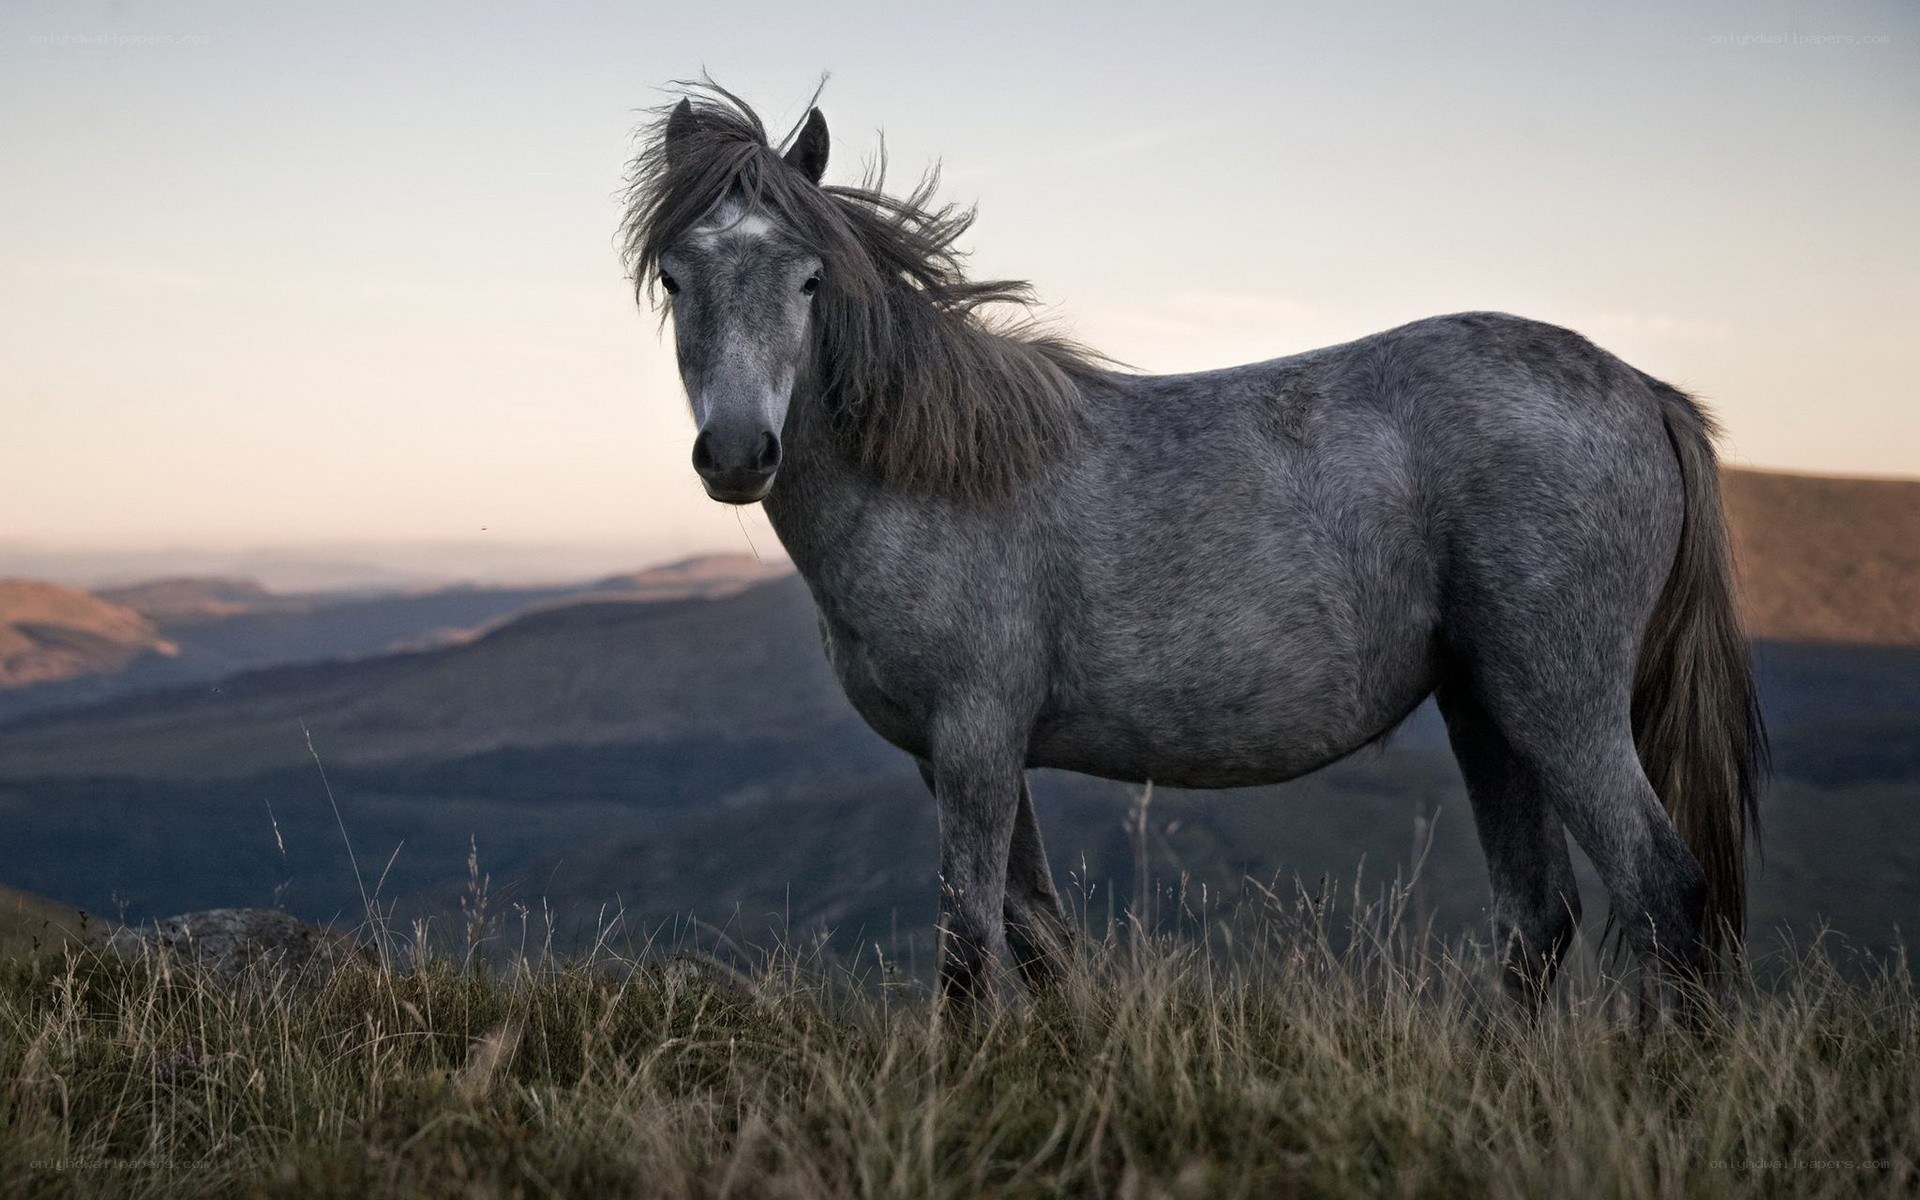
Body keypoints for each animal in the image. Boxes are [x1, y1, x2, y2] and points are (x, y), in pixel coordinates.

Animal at [619, 86, 1765, 1012]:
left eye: (809, 279)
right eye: (675, 277)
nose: (738, 452)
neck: (937, 477)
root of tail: (1646, 393)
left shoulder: (977, 739)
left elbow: (969, 949)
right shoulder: (955, 756)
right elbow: (1038, 940)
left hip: (1560, 705)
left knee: (1663, 890)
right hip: (1488, 709)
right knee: (1539, 918)